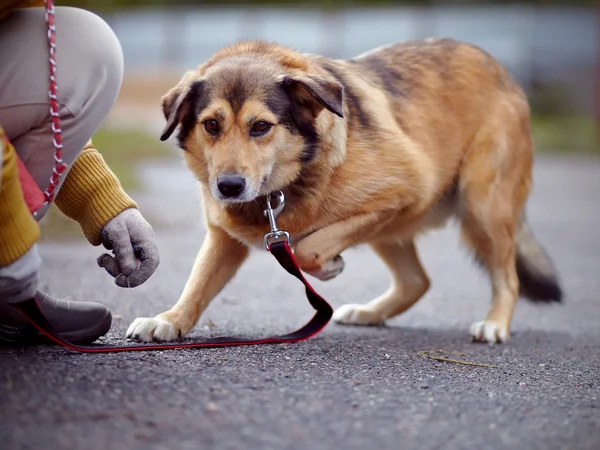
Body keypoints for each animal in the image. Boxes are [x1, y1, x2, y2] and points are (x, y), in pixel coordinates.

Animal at [126, 38, 564, 346]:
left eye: (261, 126)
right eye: (211, 125)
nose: (229, 187)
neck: (281, 189)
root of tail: (500, 68)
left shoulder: (404, 191)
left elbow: (307, 248)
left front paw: (328, 266)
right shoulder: (223, 238)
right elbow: (198, 284)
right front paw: (170, 320)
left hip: (480, 205)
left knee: (507, 278)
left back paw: (495, 324)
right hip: (393, 231)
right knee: (417, 282)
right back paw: (371, 313)